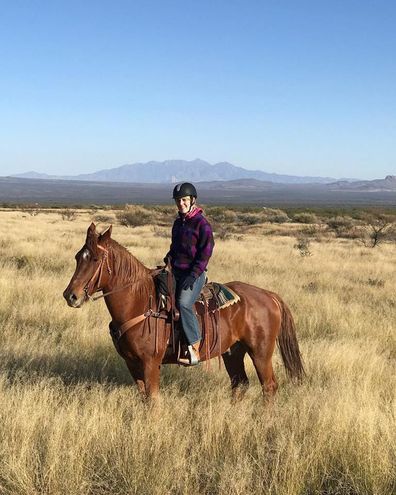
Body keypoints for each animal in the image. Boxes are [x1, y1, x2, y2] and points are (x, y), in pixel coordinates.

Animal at [63, 224, 304, 400]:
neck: (139, 302)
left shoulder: (150, 363)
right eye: (77, 257)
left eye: (95, 259)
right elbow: (143, 398)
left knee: (269, 386)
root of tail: (269, 295)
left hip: (260, 353)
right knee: (240, 384)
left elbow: (152, 400)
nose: (70, 296)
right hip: (233, 352)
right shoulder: (132, 363)